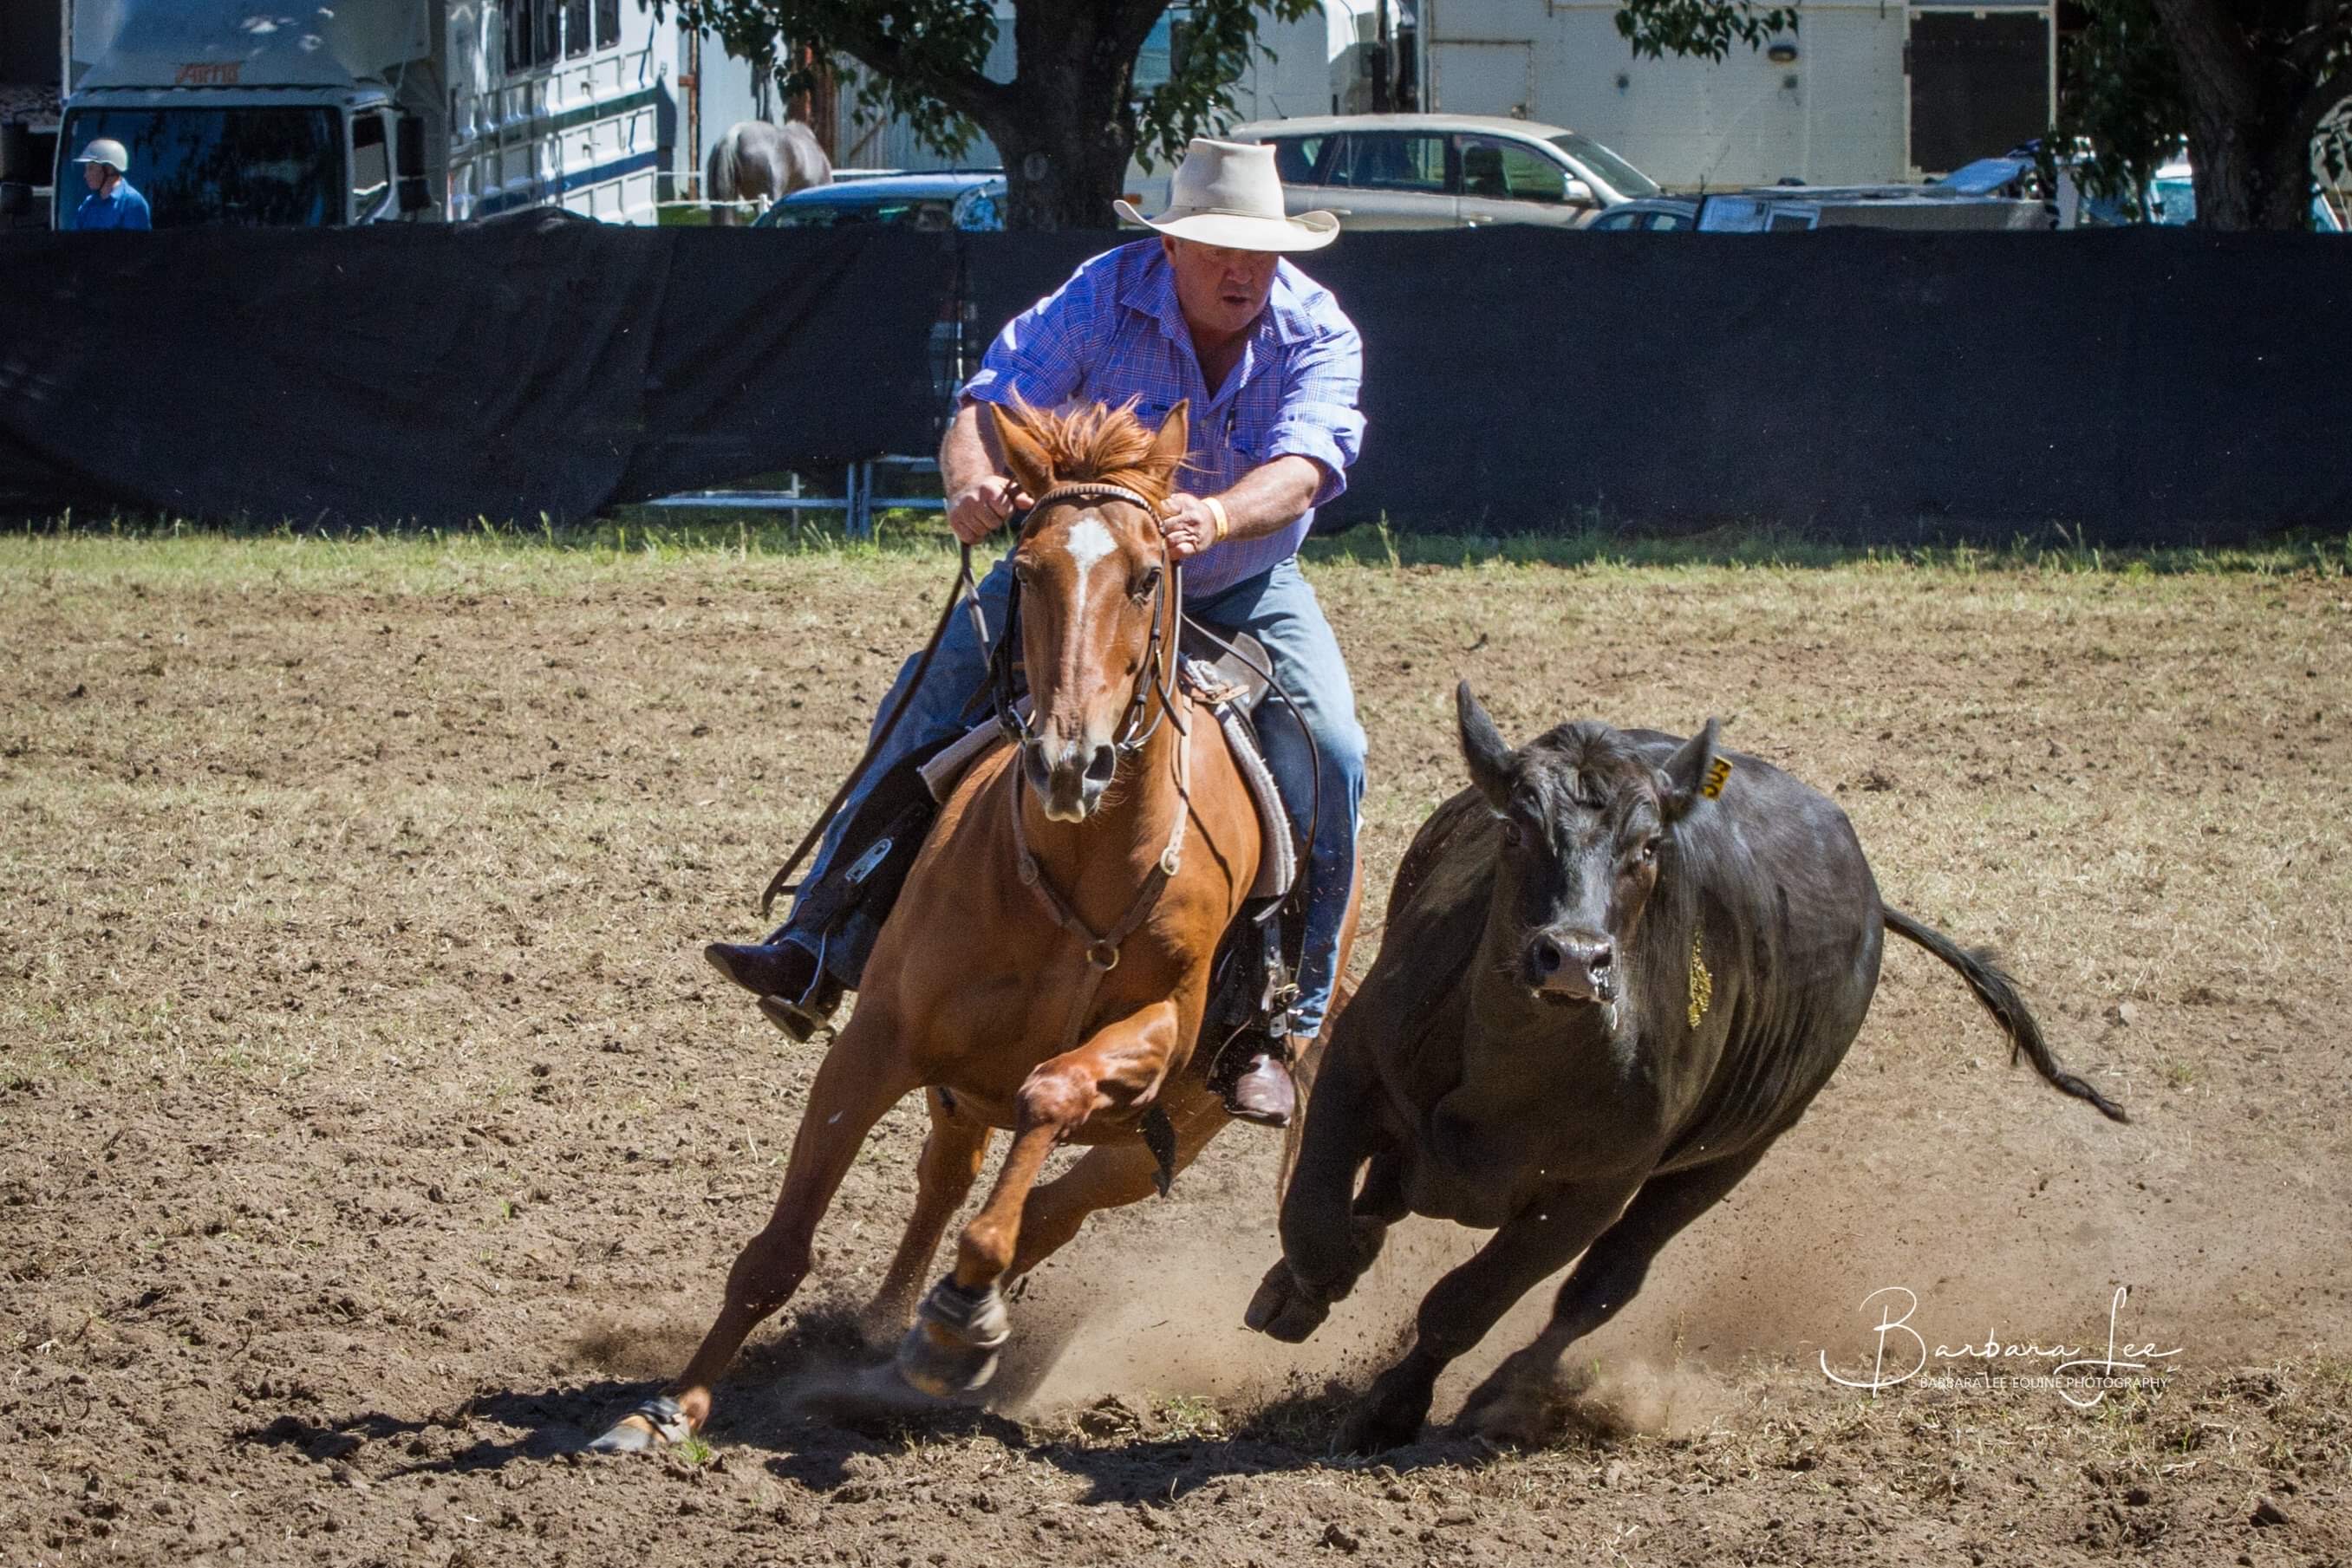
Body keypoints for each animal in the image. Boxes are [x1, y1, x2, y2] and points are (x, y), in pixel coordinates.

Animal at [592, 398, 1360, 1451]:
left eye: (1147, 574)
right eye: (1026, 566)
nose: (1068, 761)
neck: (1080, 870)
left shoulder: (1155, 1039)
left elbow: (1050, 1097)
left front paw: (962, 1318)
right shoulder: (877, 1041)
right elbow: (778, 1247)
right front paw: (670, 1406)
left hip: (1168, 1129)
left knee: (1052, 1206)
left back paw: (946, 1324)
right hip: (958, 1090)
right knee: (944, 1183)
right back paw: (887, 1324)